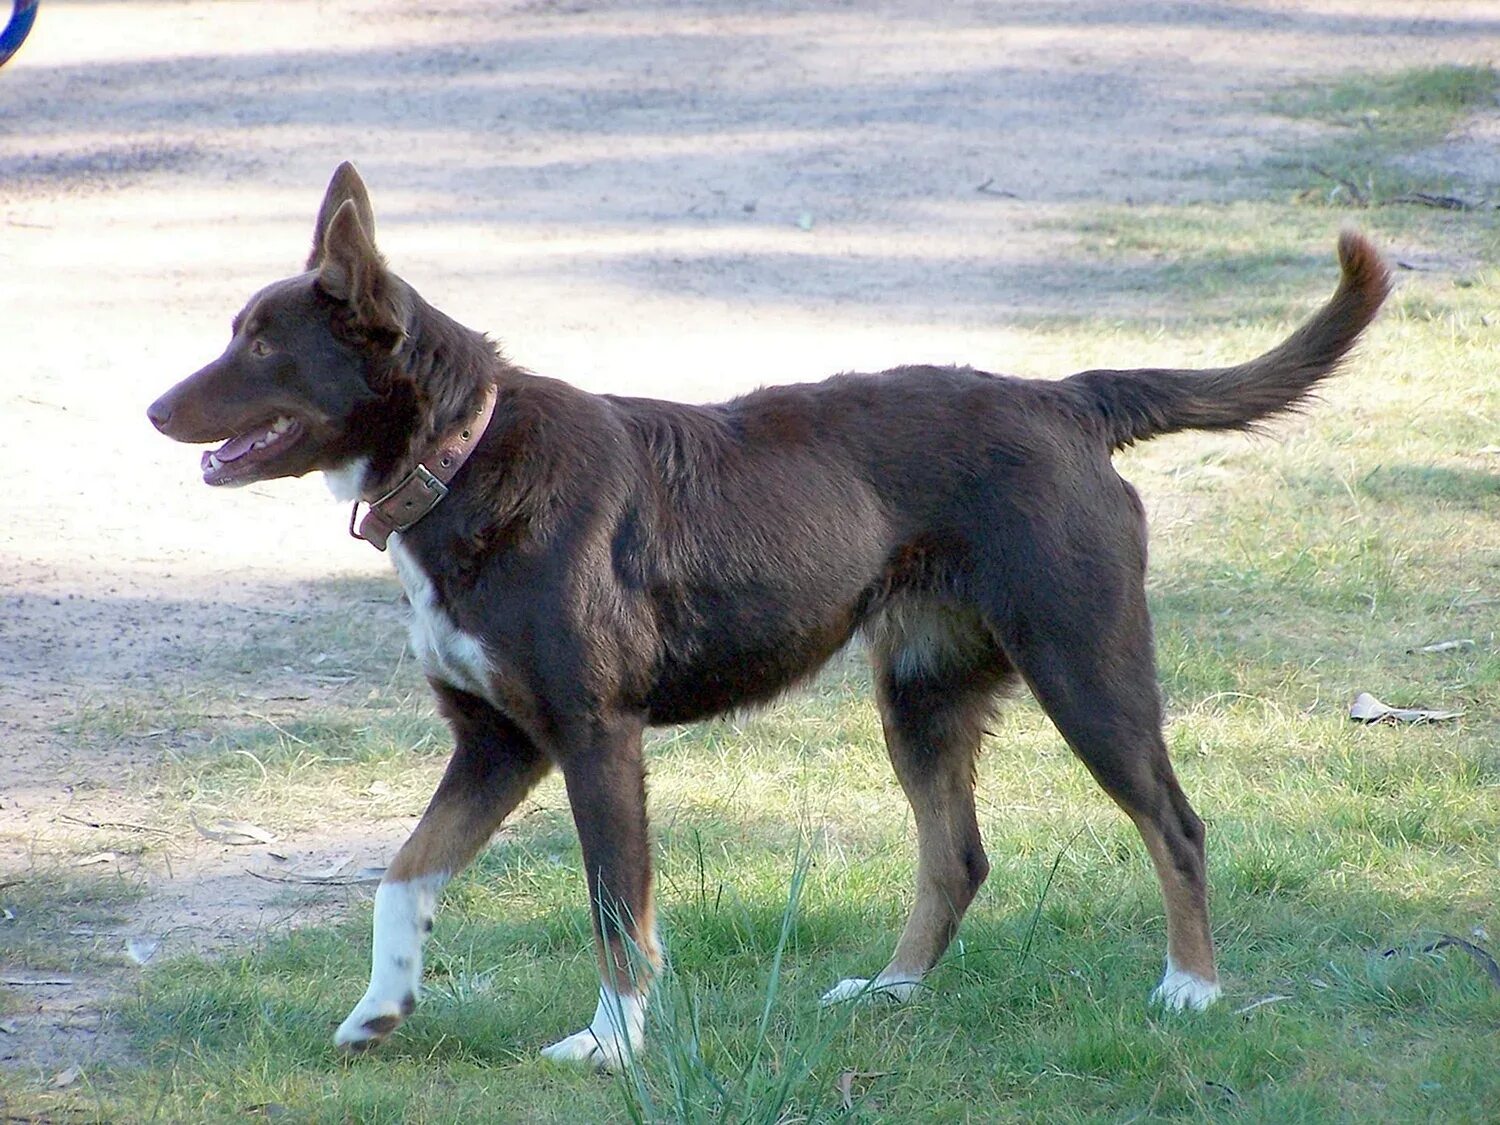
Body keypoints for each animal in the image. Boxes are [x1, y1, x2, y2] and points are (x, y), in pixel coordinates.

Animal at [146, 162, 1386, 1068]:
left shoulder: (594, 737)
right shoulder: (498, 742)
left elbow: (616, 913)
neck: (462, 460)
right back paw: (889, 991)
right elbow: (404, 877)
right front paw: (381, 1009)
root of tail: (1064, 400)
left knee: (1175, 827)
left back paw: (1191, 990)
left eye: (261, 343)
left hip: (1086, 665)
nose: (154, 408)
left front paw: (613, 1048)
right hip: (923, 695)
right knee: (958, 857)